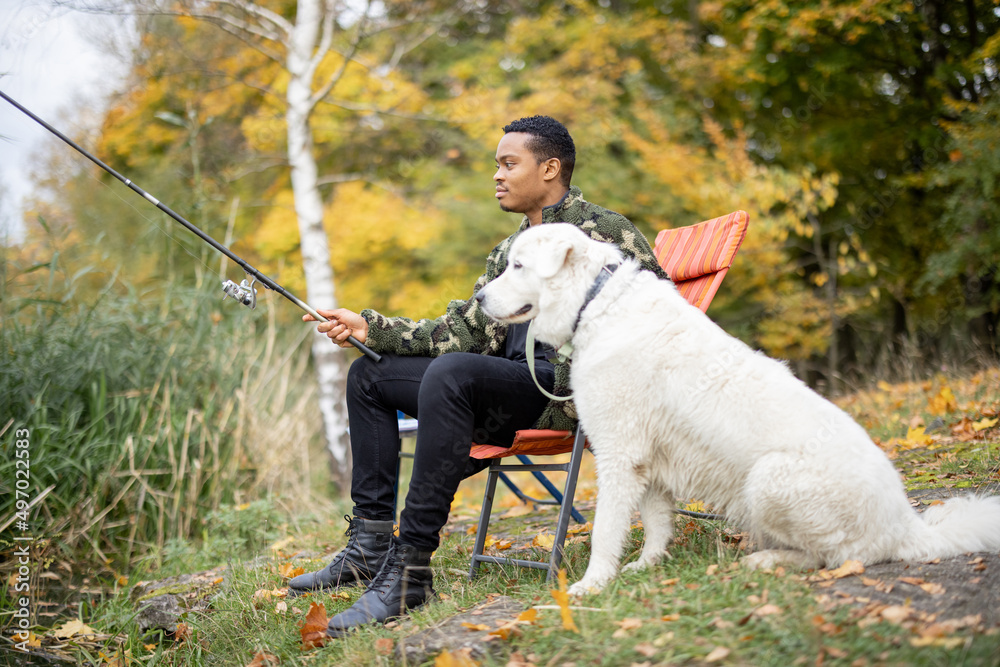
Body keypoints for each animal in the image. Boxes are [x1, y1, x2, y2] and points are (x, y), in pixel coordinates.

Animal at [474, 223, 1000, 596]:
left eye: (517, 265)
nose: (477, 297)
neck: (595, 302)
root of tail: (906, 527)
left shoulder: (619, 452)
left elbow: (606, 530)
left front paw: (591, 586)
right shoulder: (650, 457)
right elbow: (657, 522)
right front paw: (647, 567)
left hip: (769, 479)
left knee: (838, 558)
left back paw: (765, 560)